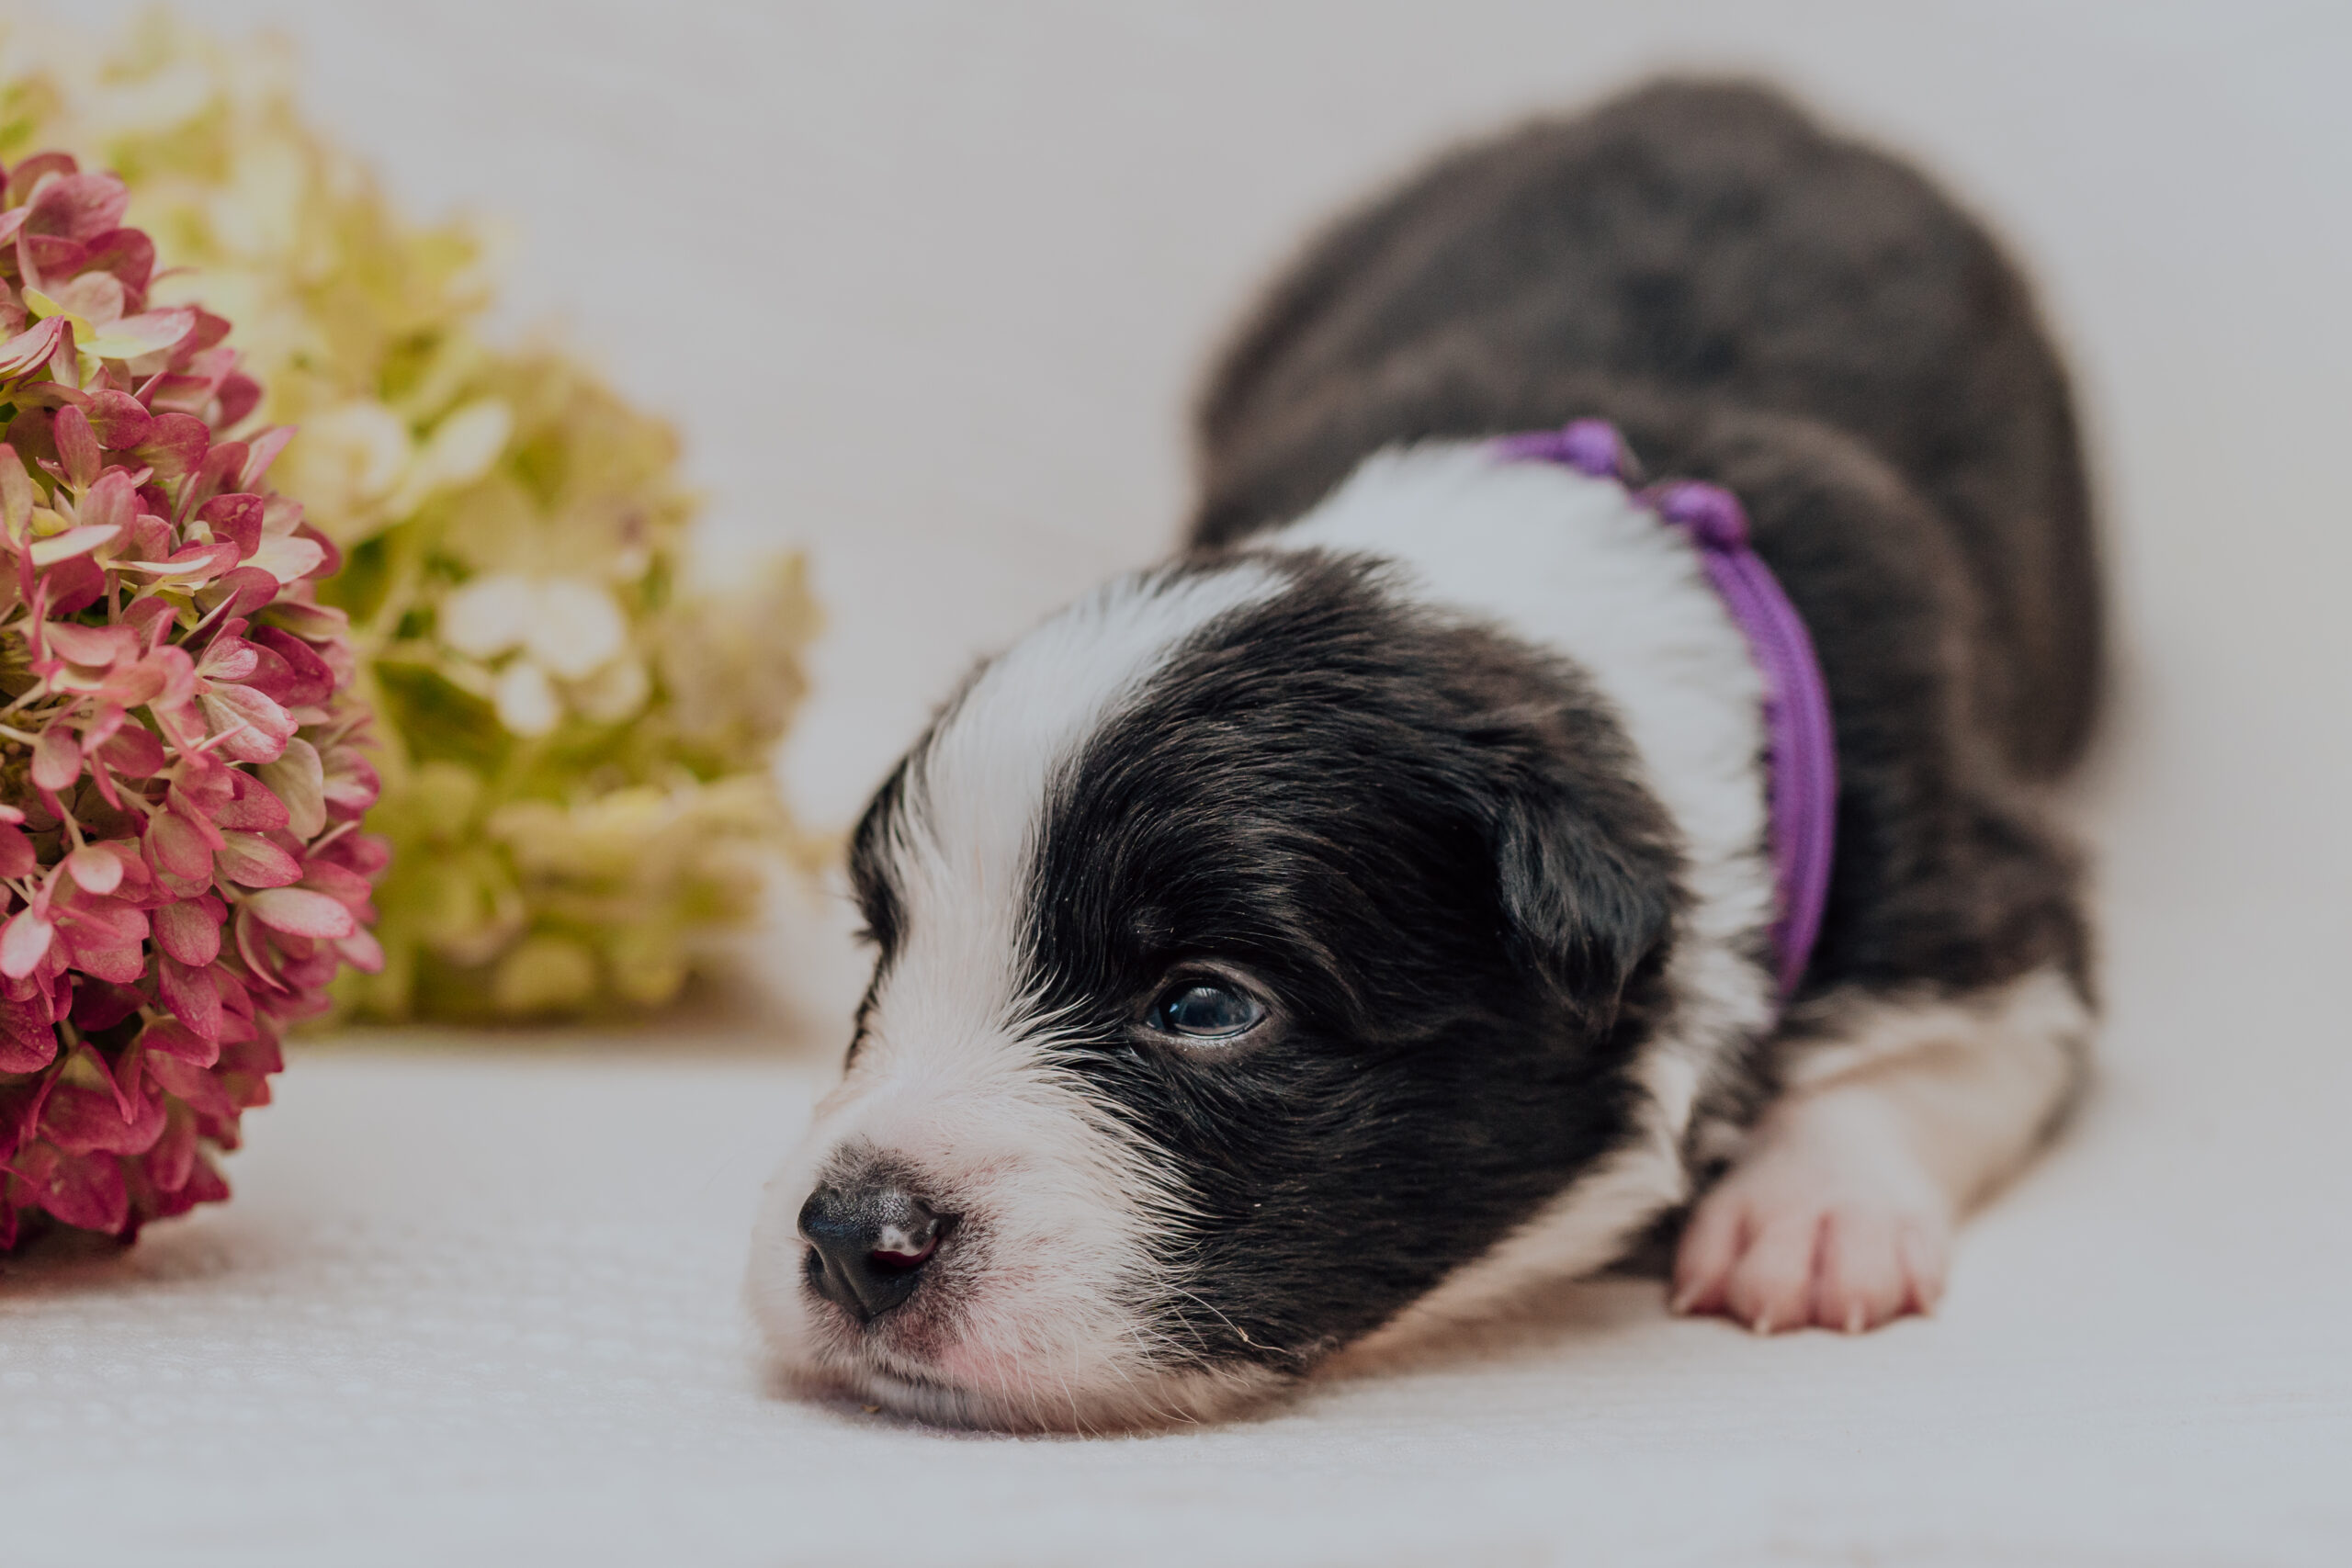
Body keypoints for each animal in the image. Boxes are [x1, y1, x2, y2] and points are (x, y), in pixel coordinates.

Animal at [749, 79, 2100, 1431]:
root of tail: (1734, 90)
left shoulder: (1967, 866)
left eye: (1204, 1005)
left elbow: (1954, 1044)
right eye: (886, 949)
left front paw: (1809, 1218)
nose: (853, 1234)